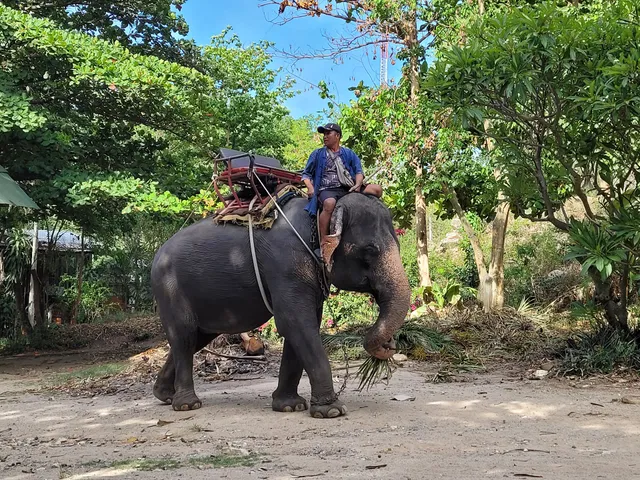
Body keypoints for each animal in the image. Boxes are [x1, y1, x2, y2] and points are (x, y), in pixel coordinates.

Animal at [150, 191, 411, 418]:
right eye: (370, 250)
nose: (390, 344)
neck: (317, 215)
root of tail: (157, 253)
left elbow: (304, 327)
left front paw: (289, 406)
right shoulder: (286, 265)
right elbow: (295, 323)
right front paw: (331, 411)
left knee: (197, 338)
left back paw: (165, 395)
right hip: (169, 288)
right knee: (184, 336)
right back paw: (187, 405)